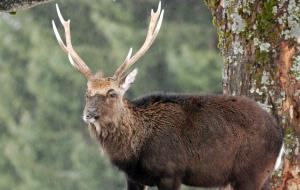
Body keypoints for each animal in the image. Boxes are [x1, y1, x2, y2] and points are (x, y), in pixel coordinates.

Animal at [51, 1, 284, 190]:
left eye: (112, 93)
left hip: (251, 171)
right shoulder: (133, 178)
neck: (134, 151)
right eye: (87, 93)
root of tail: (281, 134)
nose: (88, 114)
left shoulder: (170, 172)